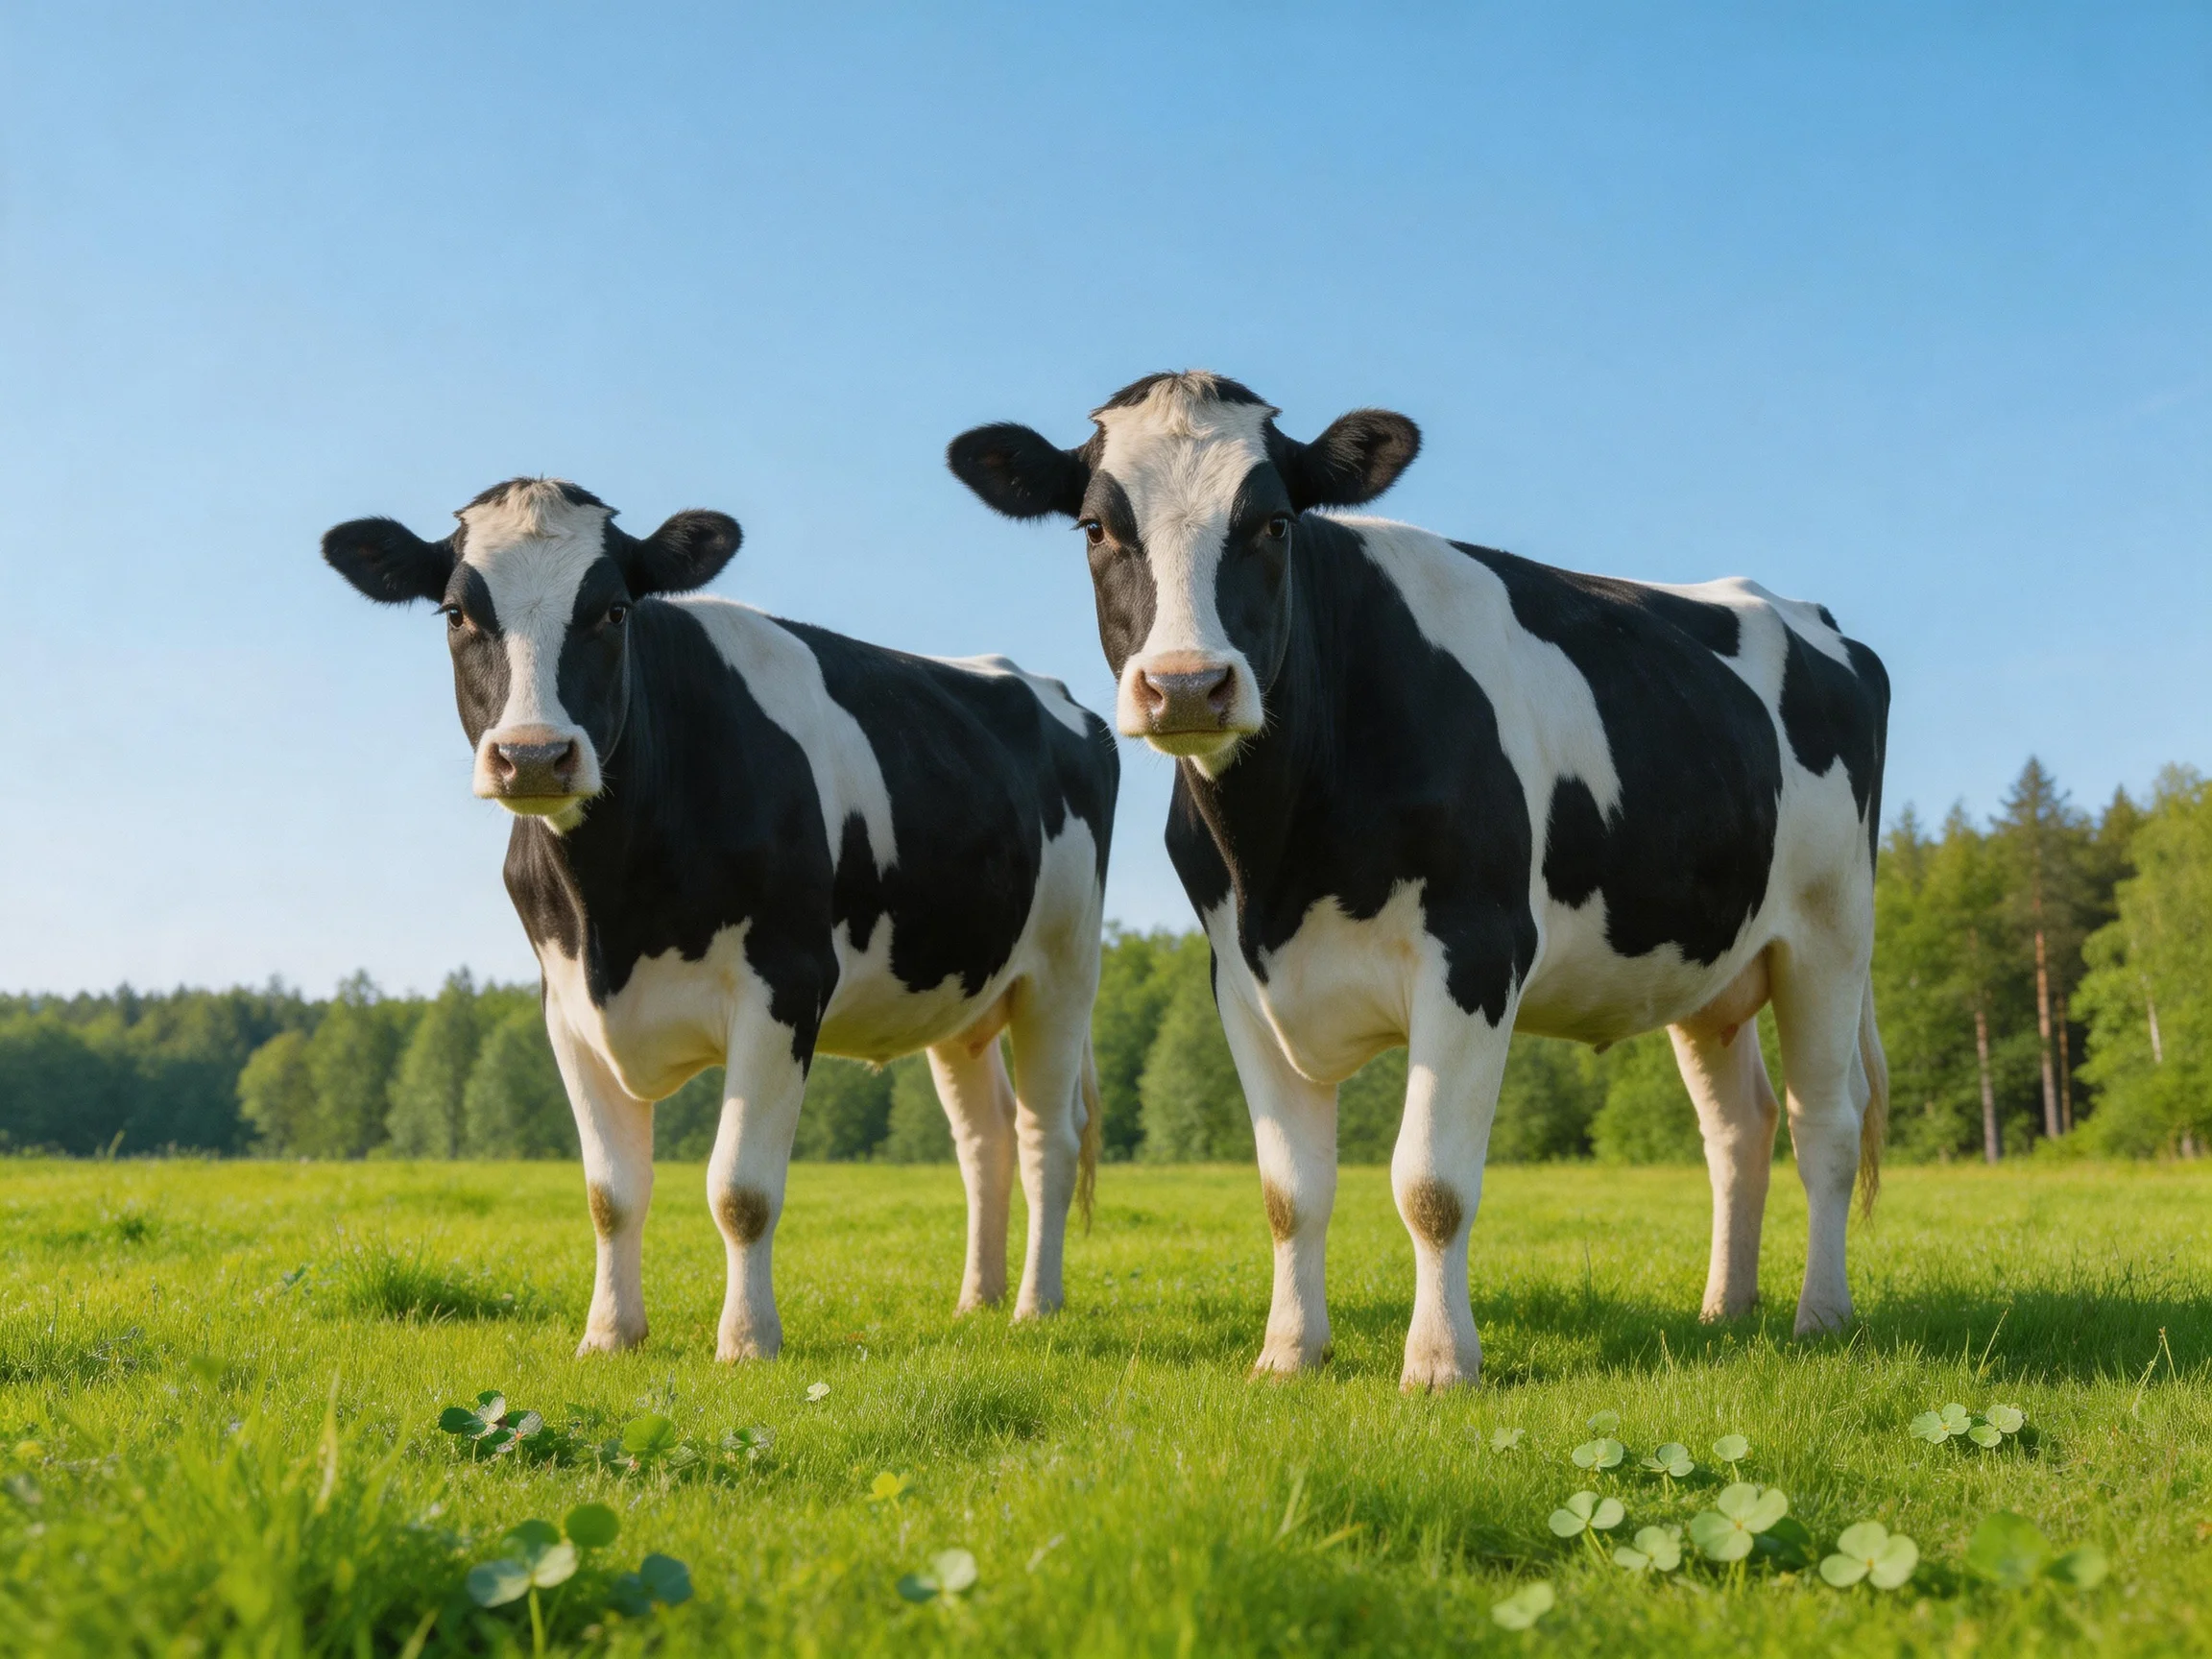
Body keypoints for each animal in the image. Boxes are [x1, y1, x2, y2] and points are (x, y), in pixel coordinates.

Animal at [322, 477, 1117, 1360]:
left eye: (615, 611)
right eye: (457, 613)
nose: (532, 756)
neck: (614, 912)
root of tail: (1044, 687)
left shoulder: (786, 986)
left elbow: (741, 1190)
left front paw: (746, 1341)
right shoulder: (566, 1006)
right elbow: (611, 1193)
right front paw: (610, 1333)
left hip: (1063, 973)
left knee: (1050, 1138)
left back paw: (1035, 1305)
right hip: (957, 992)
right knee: (987, 1142)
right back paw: (976, 1300)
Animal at [948, 372, 1890, 1391]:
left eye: (1275, 523)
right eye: (1095, 527)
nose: (1189, 685)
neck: (1284, 859)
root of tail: (1811, 616)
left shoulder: (1476, 954)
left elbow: (1431, 1184)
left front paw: (1440, 1364)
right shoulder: (1240, 978)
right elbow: (1289, 1193)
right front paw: (1288, 1352)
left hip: (1830, 934)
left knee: (1825, 1124)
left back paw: (1821, 1314)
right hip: (1713, 967)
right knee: (1739, 1131)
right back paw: (1727, 1308)